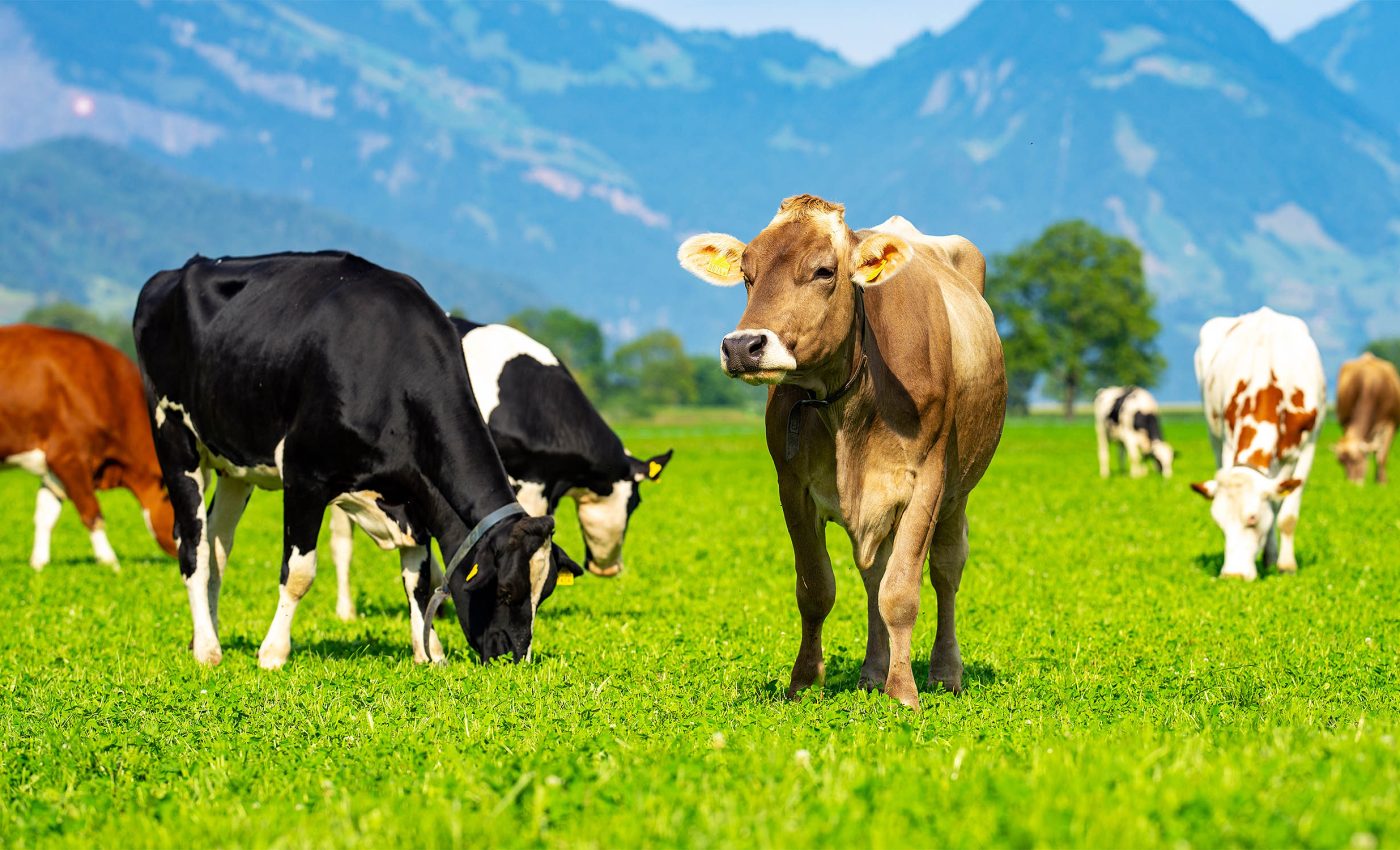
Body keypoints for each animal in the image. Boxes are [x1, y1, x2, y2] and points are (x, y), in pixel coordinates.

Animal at [0, 324, 177, 570]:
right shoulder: (68, 457)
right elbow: (92, 513)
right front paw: (111, 563)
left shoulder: (53, 467)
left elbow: (45, 514)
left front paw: (38, 564)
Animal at [133, 251, 582, 669]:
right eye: (506, 590)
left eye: (546, 592)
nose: (514, 657)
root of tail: (175, 272)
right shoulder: (304, 476)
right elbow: (299, 573)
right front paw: (273, 653)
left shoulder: (417, 496)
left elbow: (418, 579)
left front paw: (427, 651)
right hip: (174, 439)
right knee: (193, 546)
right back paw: (208, 650)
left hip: (234, 465)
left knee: (217, 545)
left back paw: (203, 635)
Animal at [677, 195, 1006, 710]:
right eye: (747, 274)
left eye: (824, 271)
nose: (743, 346)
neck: (847, 408)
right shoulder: (792, 487)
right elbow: (817, 588)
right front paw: (804, 682)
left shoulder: (927, 483)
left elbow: (902, 593)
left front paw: (904, 693)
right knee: (872, 573)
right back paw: (872, 672)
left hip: (958, 494)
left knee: (945, 570)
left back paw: (944, 673)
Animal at [1191, 307, 1325, 580]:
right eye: (1219, 522)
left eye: (1252, 518)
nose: (1233, 576)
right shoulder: (1229, 444)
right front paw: (1271, 559)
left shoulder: (1307, 446)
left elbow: (1285, 514)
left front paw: (1286, 565)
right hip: (1214, 434)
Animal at [1334, 352, 1400, 485]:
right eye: (1341, 462)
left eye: (1357, 460)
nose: (1352, 484)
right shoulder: (1346, 422)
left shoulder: (1390, 424)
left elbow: (1382, 456)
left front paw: (1382, 482)